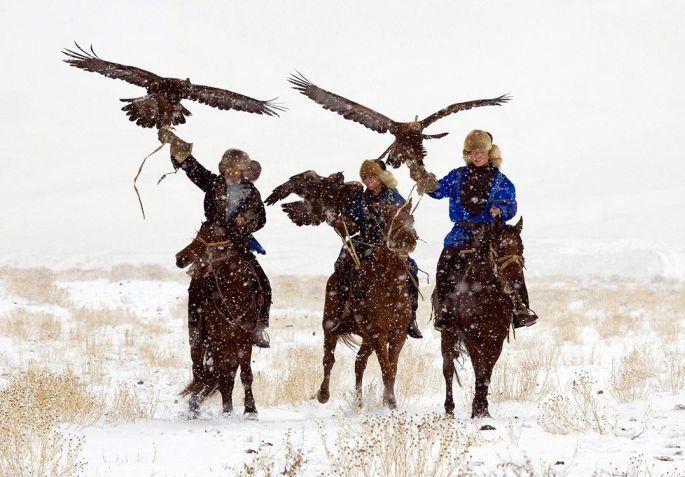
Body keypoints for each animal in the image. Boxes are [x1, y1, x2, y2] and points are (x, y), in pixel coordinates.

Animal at [174, 223, 264, 416]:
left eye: (214, 238)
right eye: (199, 234)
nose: (181, 258)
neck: (234, 294)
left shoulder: (244, 340)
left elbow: (245, 375)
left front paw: (250, 411)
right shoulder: (218, 340)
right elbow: (222, 378)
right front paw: (227, 412)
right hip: (200, 341)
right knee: (199, 373)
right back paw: (193, 409)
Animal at [316, 199, 416, 408]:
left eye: (411, 219)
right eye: (389, 221)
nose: (409, 240)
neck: (388, 284)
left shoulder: (398, 335)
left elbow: (392, 368)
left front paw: (389, 402)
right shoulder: (378, 333)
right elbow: (387, 369)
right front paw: (391, 404)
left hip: (366, 338)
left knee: (359, 362)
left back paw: (358, 402)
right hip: (331, 325)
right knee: (328, 359)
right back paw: (323, 394)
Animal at [438, 218, 524, 414]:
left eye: (521, 247)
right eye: (500, 247)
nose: (515, 282)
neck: (486, 294)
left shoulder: (497, 337)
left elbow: (487, 370)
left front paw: (482, 409)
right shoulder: (472, 336)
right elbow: (479, 366)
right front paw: (478, 410)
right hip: (448, 332)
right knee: (448, 368)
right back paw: (449, 409)